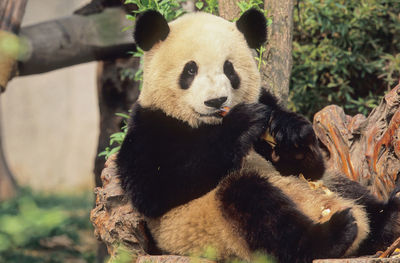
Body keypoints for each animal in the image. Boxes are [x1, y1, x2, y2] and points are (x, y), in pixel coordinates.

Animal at [115, 8, 400, 263]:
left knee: (353, 192)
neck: (207, 124)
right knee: (257, 206)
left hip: (332, 184)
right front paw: (242, 123)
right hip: (216, 226)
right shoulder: (150, 126)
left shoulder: (267, 100)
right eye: (190, 70)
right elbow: (153, 188)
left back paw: (389, 218)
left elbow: (309, 166)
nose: (216, 101)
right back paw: (336, 233)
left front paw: (291, 134)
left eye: (229, 69)